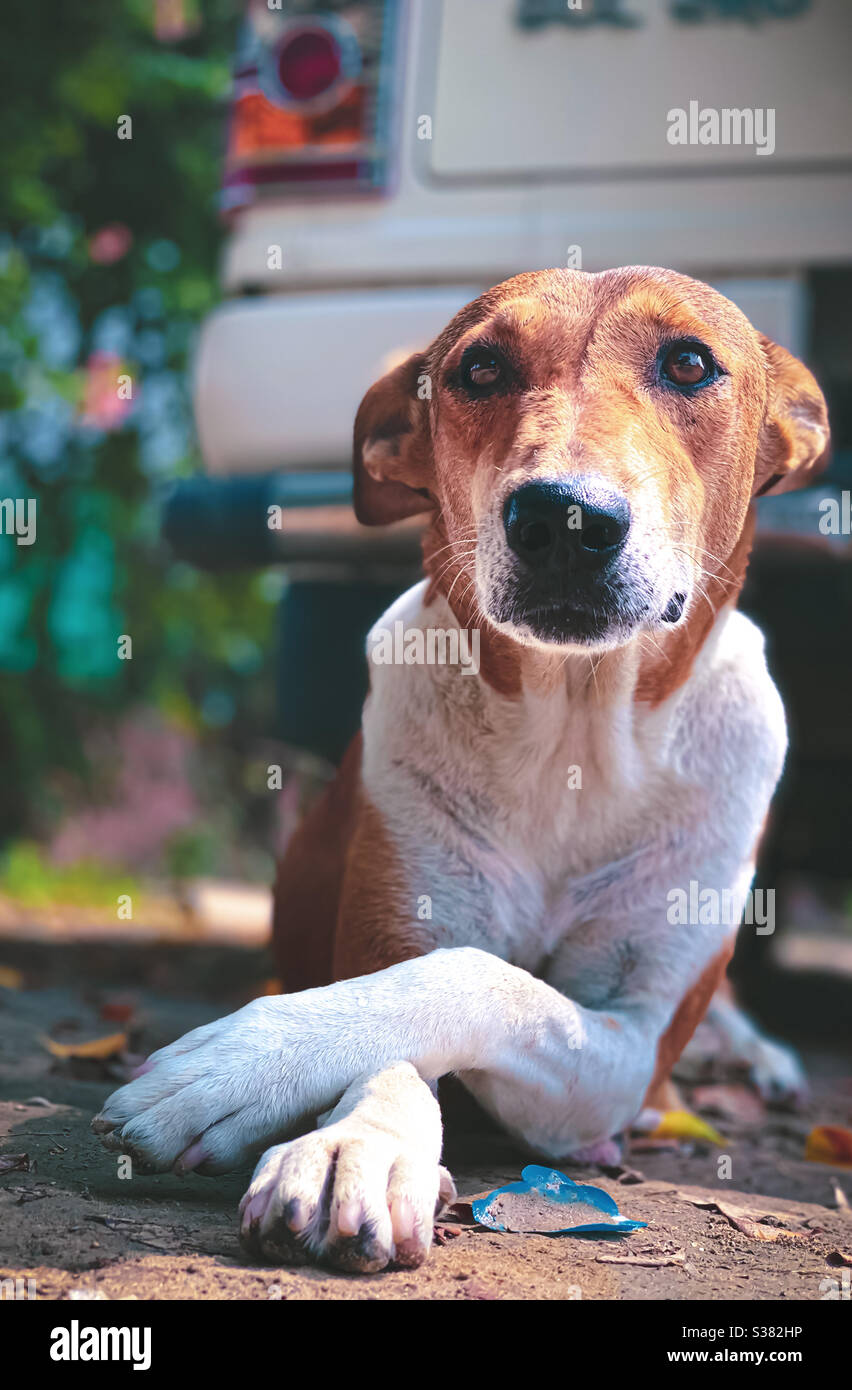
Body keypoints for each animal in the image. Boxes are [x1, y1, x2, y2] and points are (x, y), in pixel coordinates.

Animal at [93, 265, 822, 1273]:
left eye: (689, 363)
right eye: (480, 369)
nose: (564, 517)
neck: (574, 742)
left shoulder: (628, 1049)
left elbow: (484, 981)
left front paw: (259, 1077)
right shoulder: (391, 930)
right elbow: (411, 995)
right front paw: (349, 1140)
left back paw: (755, 1056)